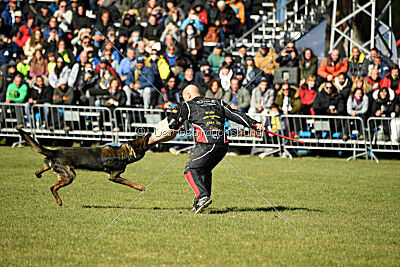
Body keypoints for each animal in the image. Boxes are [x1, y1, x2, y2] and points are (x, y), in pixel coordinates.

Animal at [17, 130, 152, 207]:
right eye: (144, 140)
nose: (150, 133)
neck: (124, 152)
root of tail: (53, 152)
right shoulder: (114, 176)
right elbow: (130, 182)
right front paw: (140, 187)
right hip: (70, 176)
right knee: (52, 187)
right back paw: (59, 202)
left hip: (59, 170)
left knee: (42, 169)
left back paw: (39, 174)